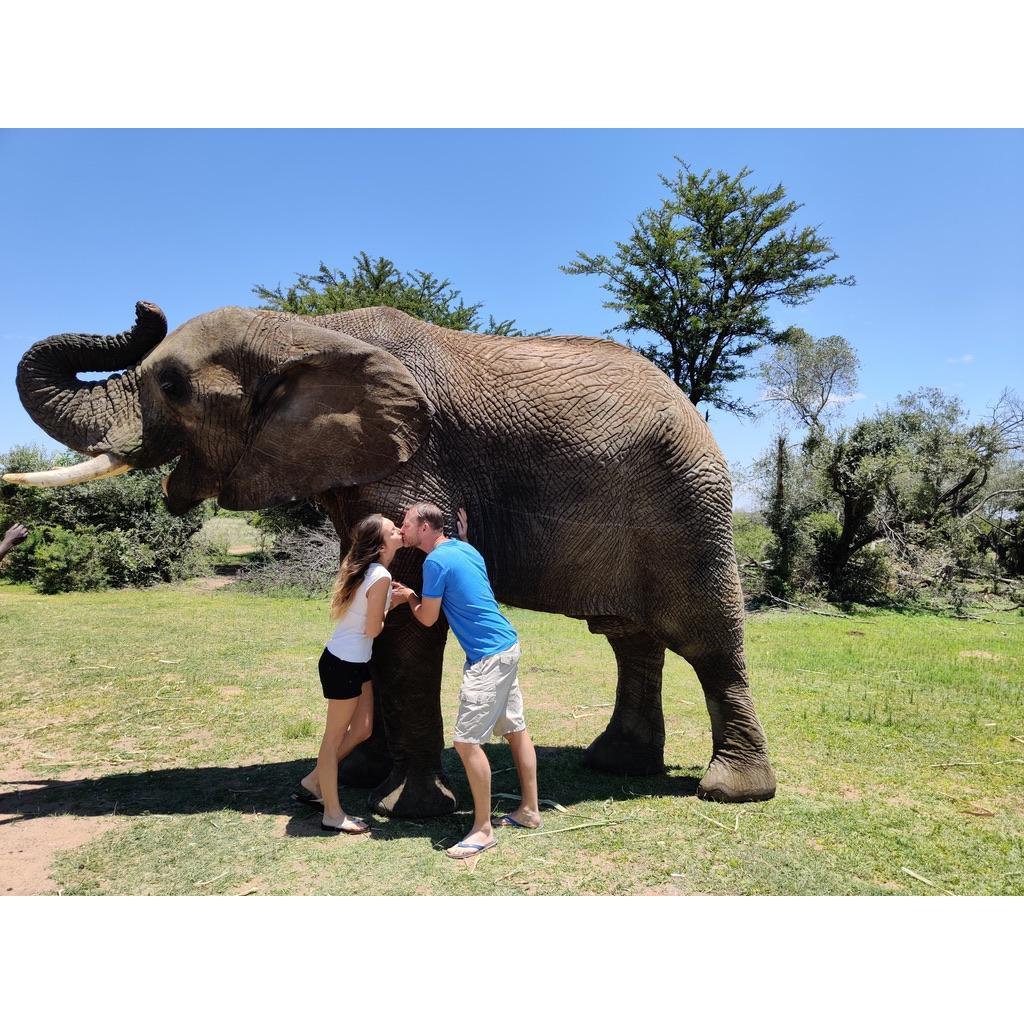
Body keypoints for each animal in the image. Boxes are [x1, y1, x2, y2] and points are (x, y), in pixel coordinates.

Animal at [7, 300, 777, 816]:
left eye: (172, 387)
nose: (145, 306)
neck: (310, 328)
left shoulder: (419, 466)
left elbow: (409, 630)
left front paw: (402, 808)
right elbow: (371, 606)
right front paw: (355, 777)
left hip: (690, 502)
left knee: (708, 641)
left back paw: (731, 791)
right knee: (630, 639)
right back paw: (616, 765)